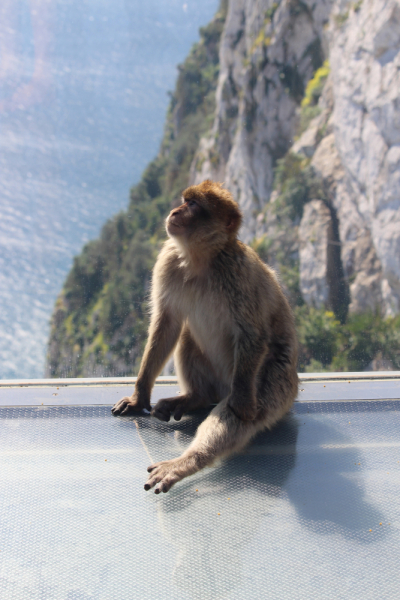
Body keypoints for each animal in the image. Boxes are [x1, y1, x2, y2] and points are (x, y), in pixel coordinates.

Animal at [111, 178, 298, 492]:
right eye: (184, 200)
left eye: (194, 205)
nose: (175, 211)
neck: (200, 259)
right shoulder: (168, 260)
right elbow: (166, 324)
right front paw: (140, 395)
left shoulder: (239, 275)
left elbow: (253, 334)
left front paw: (241, 405)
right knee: (186, 336)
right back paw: (195, 398)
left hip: (277, 383)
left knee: (243, 404)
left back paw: (186, 462)